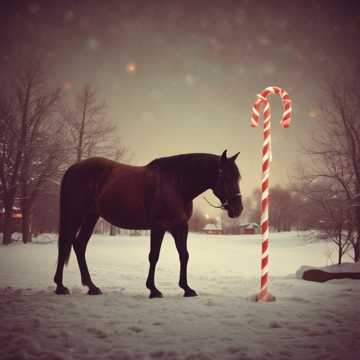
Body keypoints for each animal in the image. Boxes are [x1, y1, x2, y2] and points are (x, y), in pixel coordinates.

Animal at [53, 150, 243, 298]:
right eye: (226, 178)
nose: (238, 209)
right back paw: (61, 287)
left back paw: (91, 287)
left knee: (79, 245)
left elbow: (184, 255)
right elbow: (154, 256)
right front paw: (153, 290)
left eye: (238, 178)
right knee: (65, 245)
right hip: (75, 215)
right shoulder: (158, 227)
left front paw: (187, 289)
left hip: (91, 217)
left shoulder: (180, 227)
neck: (176, 184)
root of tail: (73, 169)